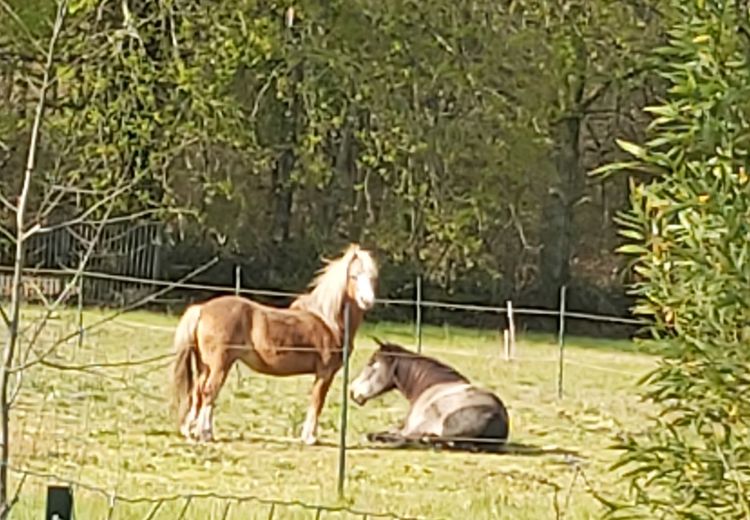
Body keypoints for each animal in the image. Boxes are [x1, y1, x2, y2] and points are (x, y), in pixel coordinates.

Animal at [173, 243, 378, 442]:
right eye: (353, 276)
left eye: (372, 277)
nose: (367, 301)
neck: (327, 320)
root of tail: (202, 309)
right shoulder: (324, 373)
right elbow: (317, 402)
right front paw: (309, 437)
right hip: (220, 364)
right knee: (209, 391)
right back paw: (203, 434)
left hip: (205, 365)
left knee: (198, 392)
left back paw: (191, 431)